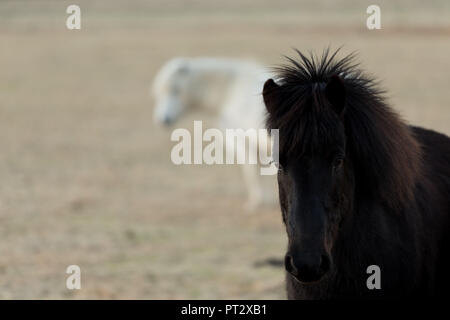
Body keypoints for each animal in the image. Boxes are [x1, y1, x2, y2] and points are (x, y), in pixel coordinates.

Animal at [151, 56, 274, 209]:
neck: (230, 92)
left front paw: (255, 203)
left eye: (176, 90)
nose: (164, 120)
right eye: (157, 95)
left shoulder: (242, 142)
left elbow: (250, 172)